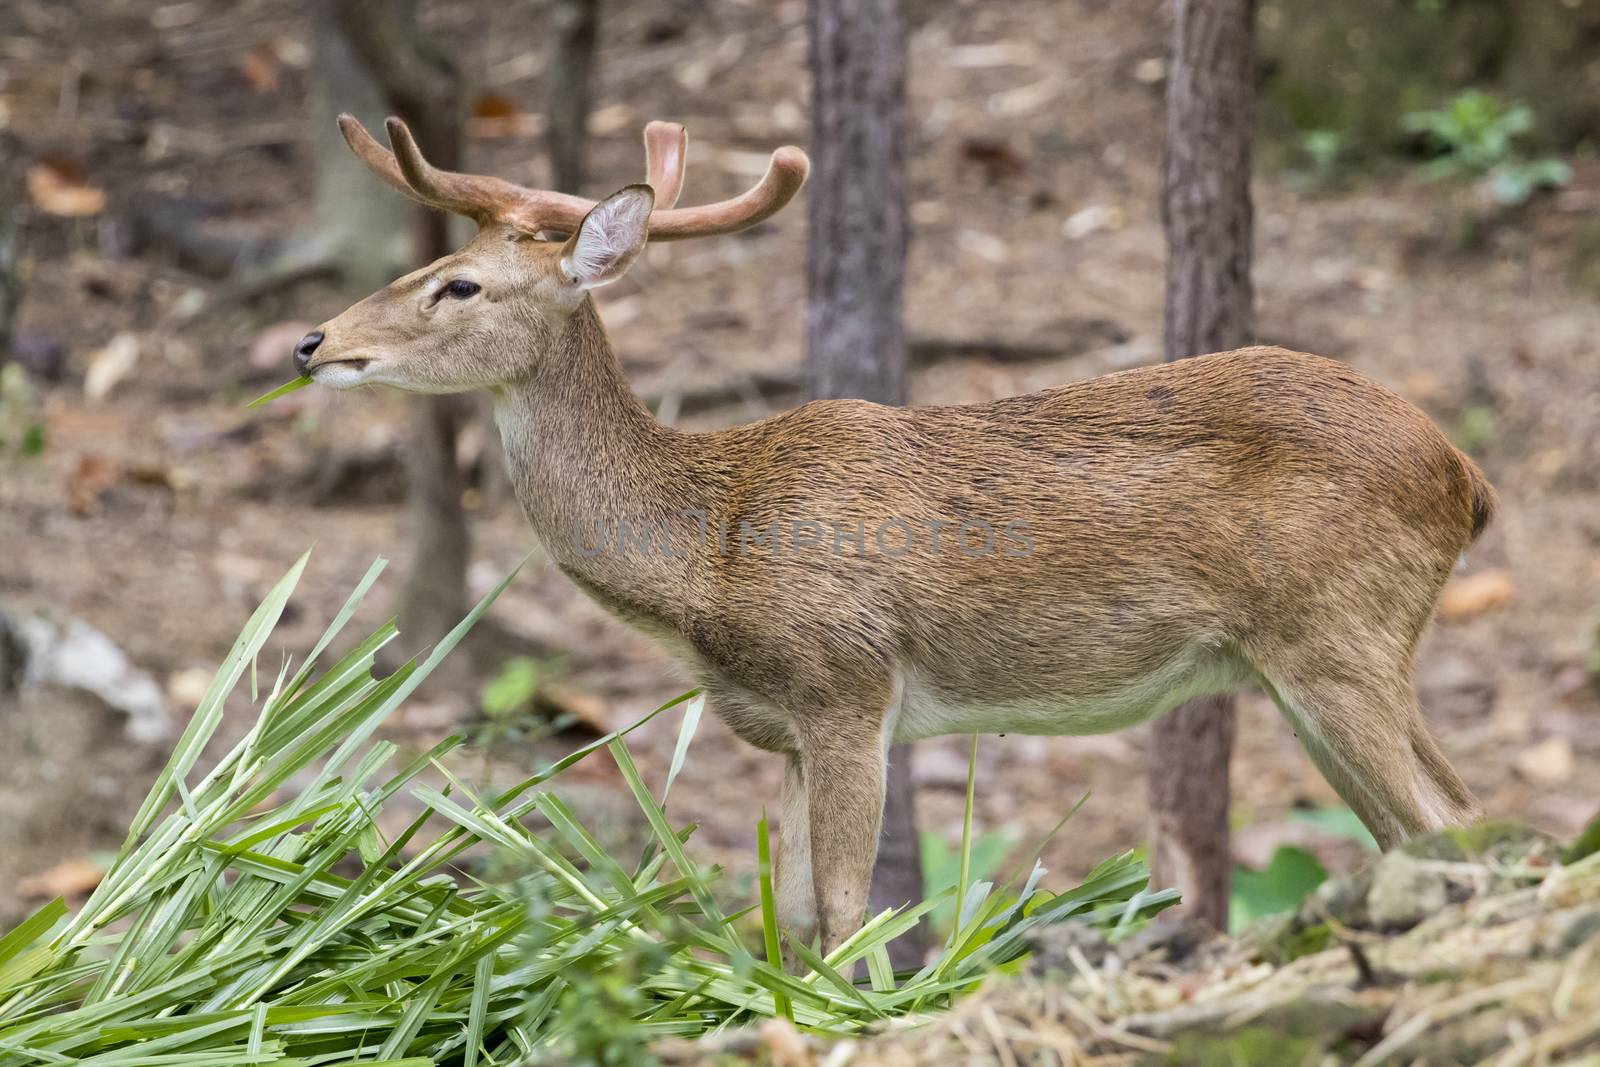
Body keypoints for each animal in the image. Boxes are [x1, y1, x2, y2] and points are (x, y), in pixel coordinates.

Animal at [297, 115, 1497, 959]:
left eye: (459, 283)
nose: (312, 341)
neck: (705, 555)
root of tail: (1466, 477)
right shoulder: (782, 727)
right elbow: (790, 915)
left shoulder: (846, 682)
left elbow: (843, 914)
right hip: (1331, 659)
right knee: (1448, 820)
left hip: (1334, 634)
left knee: (1447, 824)